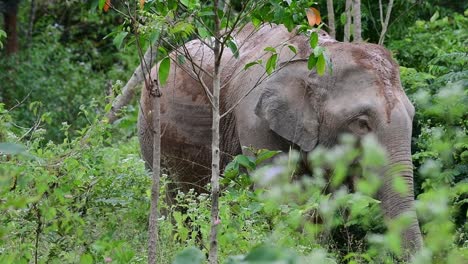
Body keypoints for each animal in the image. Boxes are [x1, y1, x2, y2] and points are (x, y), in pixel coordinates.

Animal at [137, 23, 422, 253]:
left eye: (412, 114)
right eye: (362, 123)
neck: (319, 57)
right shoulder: (255, 122)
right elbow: (282, 197)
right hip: (150, 131)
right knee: (174, 206)